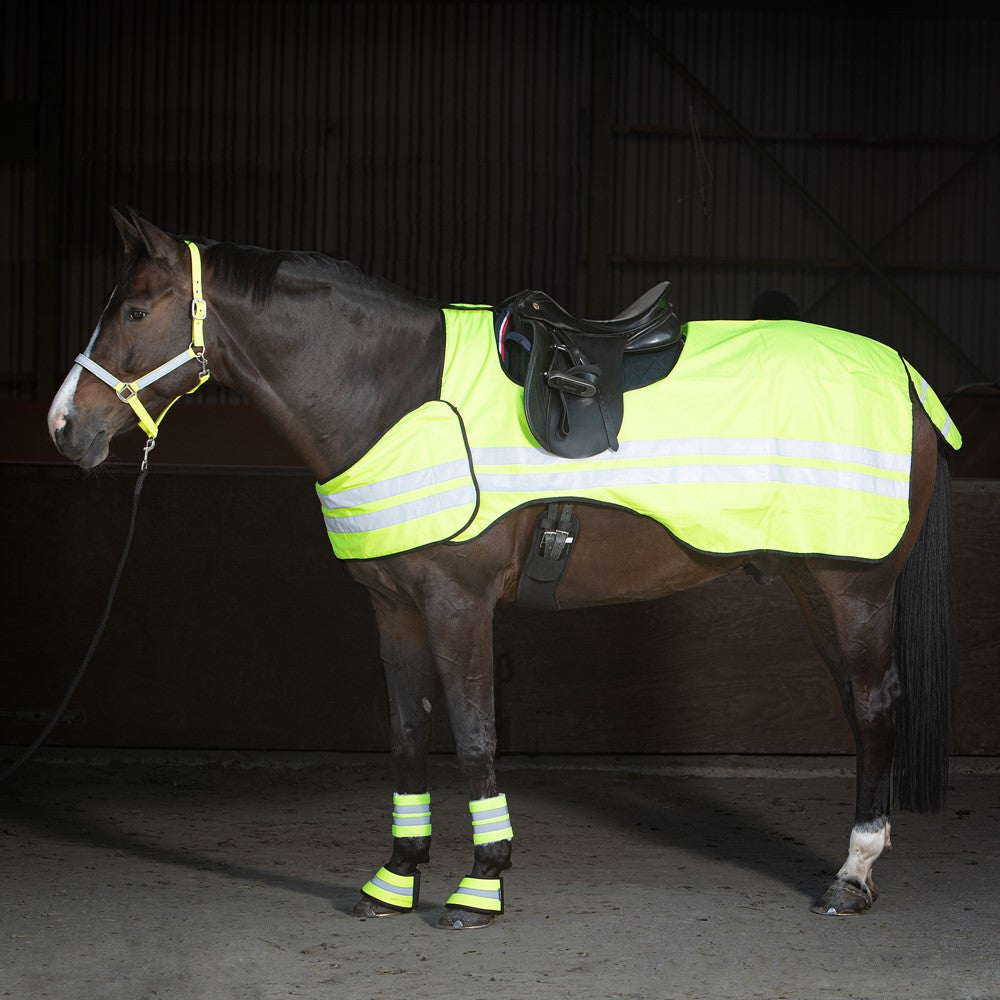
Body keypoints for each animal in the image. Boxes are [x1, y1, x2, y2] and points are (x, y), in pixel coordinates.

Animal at [47, 210, 958, 930]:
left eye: (134, 310)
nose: (63, 427)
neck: (397, 394)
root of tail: (909, 377)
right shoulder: (393, 606)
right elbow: (408, 732)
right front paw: (396, 878)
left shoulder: (458, 603)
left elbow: (475, 733)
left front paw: (479, 885)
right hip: (815, 582)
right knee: (857, 708)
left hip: (854, 587)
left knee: (877, 707)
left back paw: (852, 876)